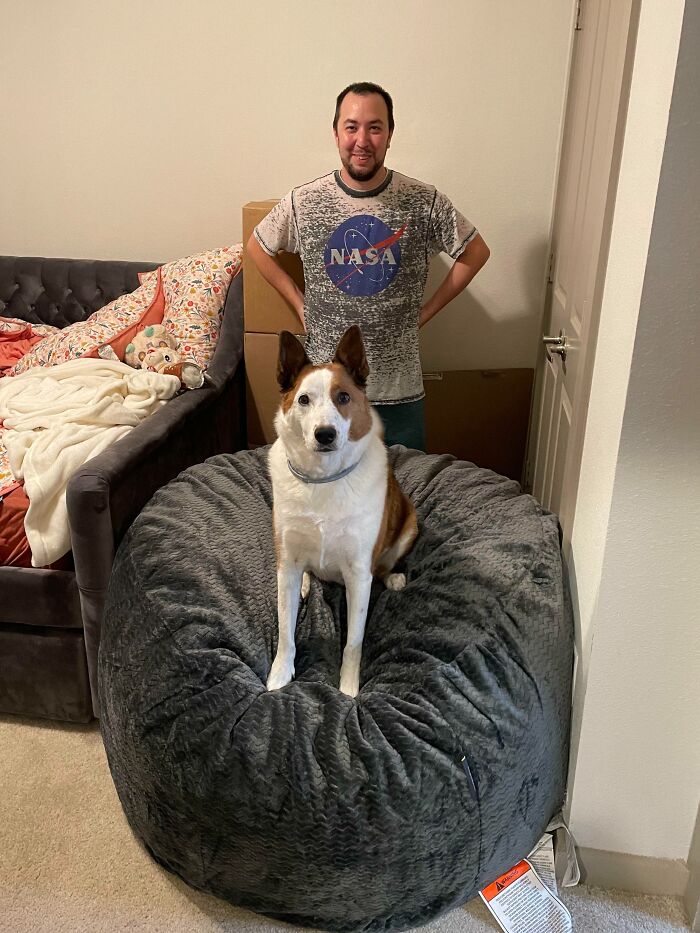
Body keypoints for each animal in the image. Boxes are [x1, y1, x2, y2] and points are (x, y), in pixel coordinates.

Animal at [268, 324, 416, 696]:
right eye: (304, 399)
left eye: (344, 397)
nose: (325, 434)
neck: (324, 479)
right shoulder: (287, 560)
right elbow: (285, 631)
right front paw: (280, 676)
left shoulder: (359, 573)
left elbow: (353, 642)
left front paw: (349, 689)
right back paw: (307, 583)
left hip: (410, 522)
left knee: (386, 565)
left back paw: (394, 577)